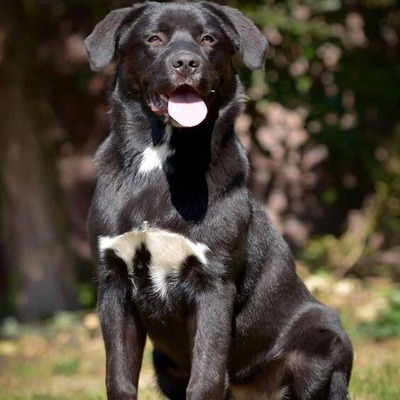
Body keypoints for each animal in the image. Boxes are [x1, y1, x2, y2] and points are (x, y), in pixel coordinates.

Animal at [85, 1, 354, 398]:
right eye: (154, 38)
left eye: (208, 39)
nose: (186, 62)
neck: (161, 159)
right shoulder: (113, 281)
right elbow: (118, 377)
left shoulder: (213, 283)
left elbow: (207, 376)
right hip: (165, 364)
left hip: (324, 339)